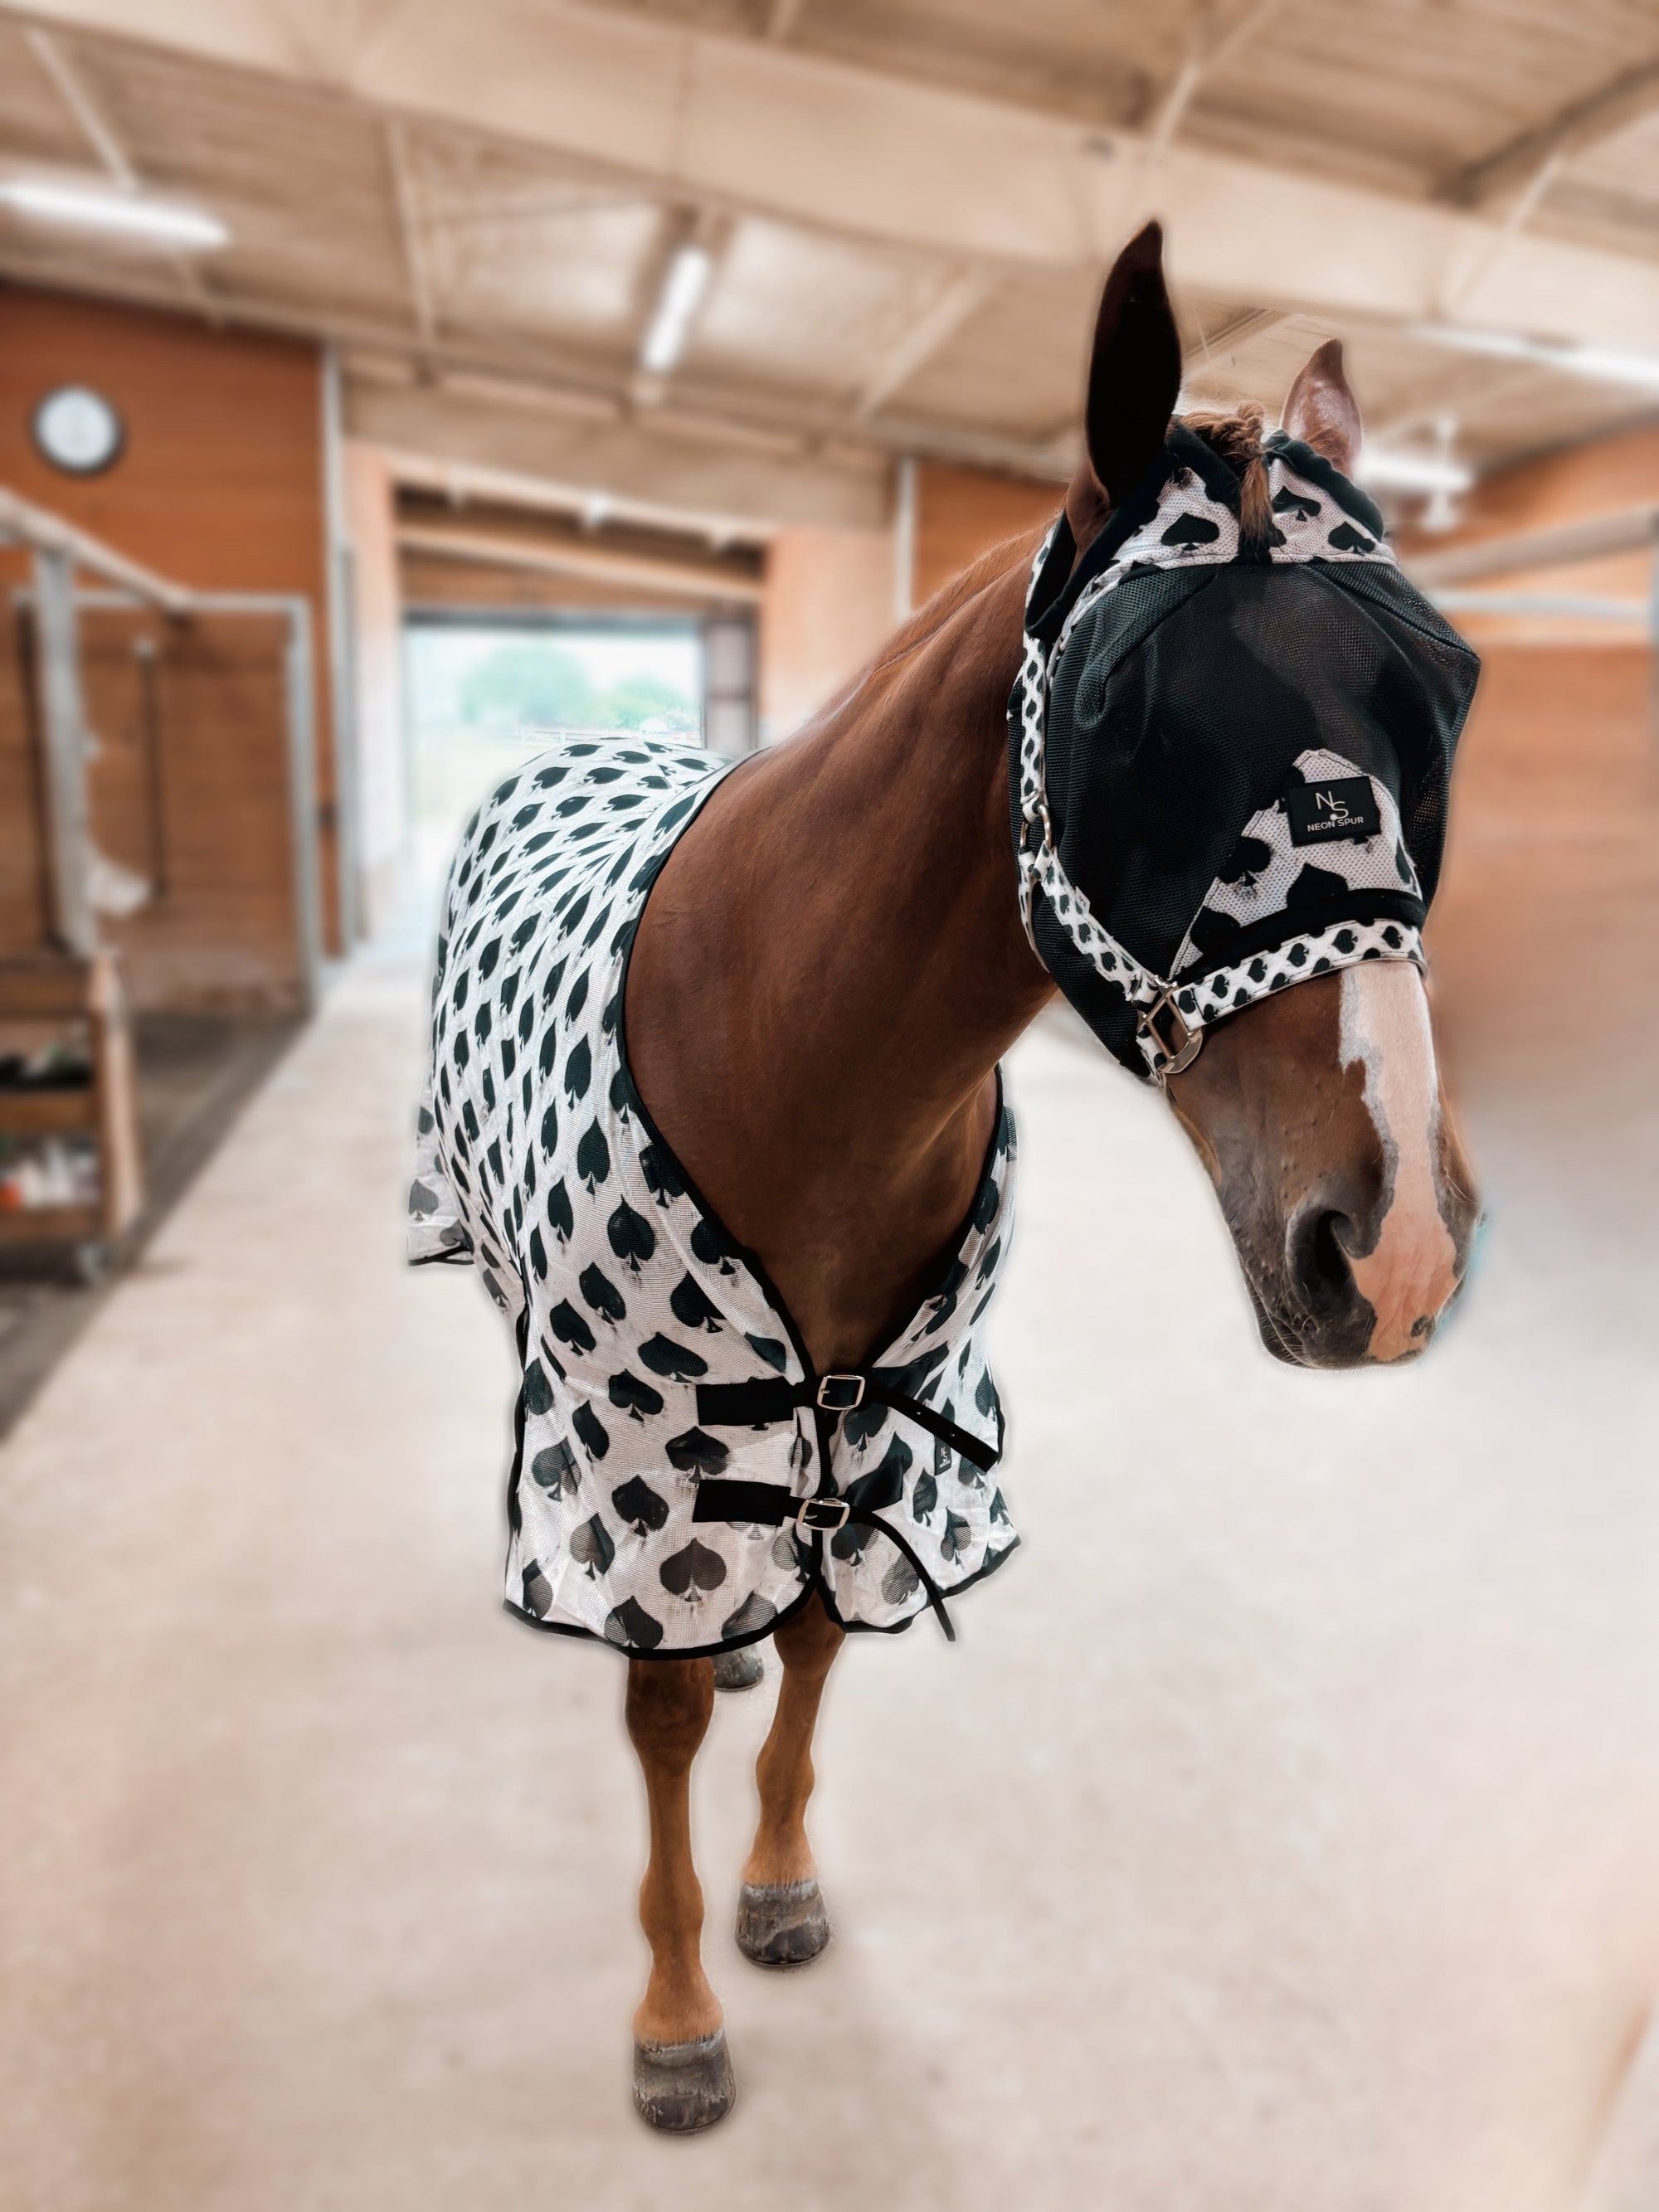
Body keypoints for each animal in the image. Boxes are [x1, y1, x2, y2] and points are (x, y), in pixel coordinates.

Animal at [411, 221, 1480, 2132]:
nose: (1397, 1252)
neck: (802, 1052)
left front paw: (775, 1887)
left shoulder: (891, 1413)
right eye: (1129, 714)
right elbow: (662, 1721)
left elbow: (823, 1645)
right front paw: (675, 2017)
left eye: (1447, 695)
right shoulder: (634, 1425)